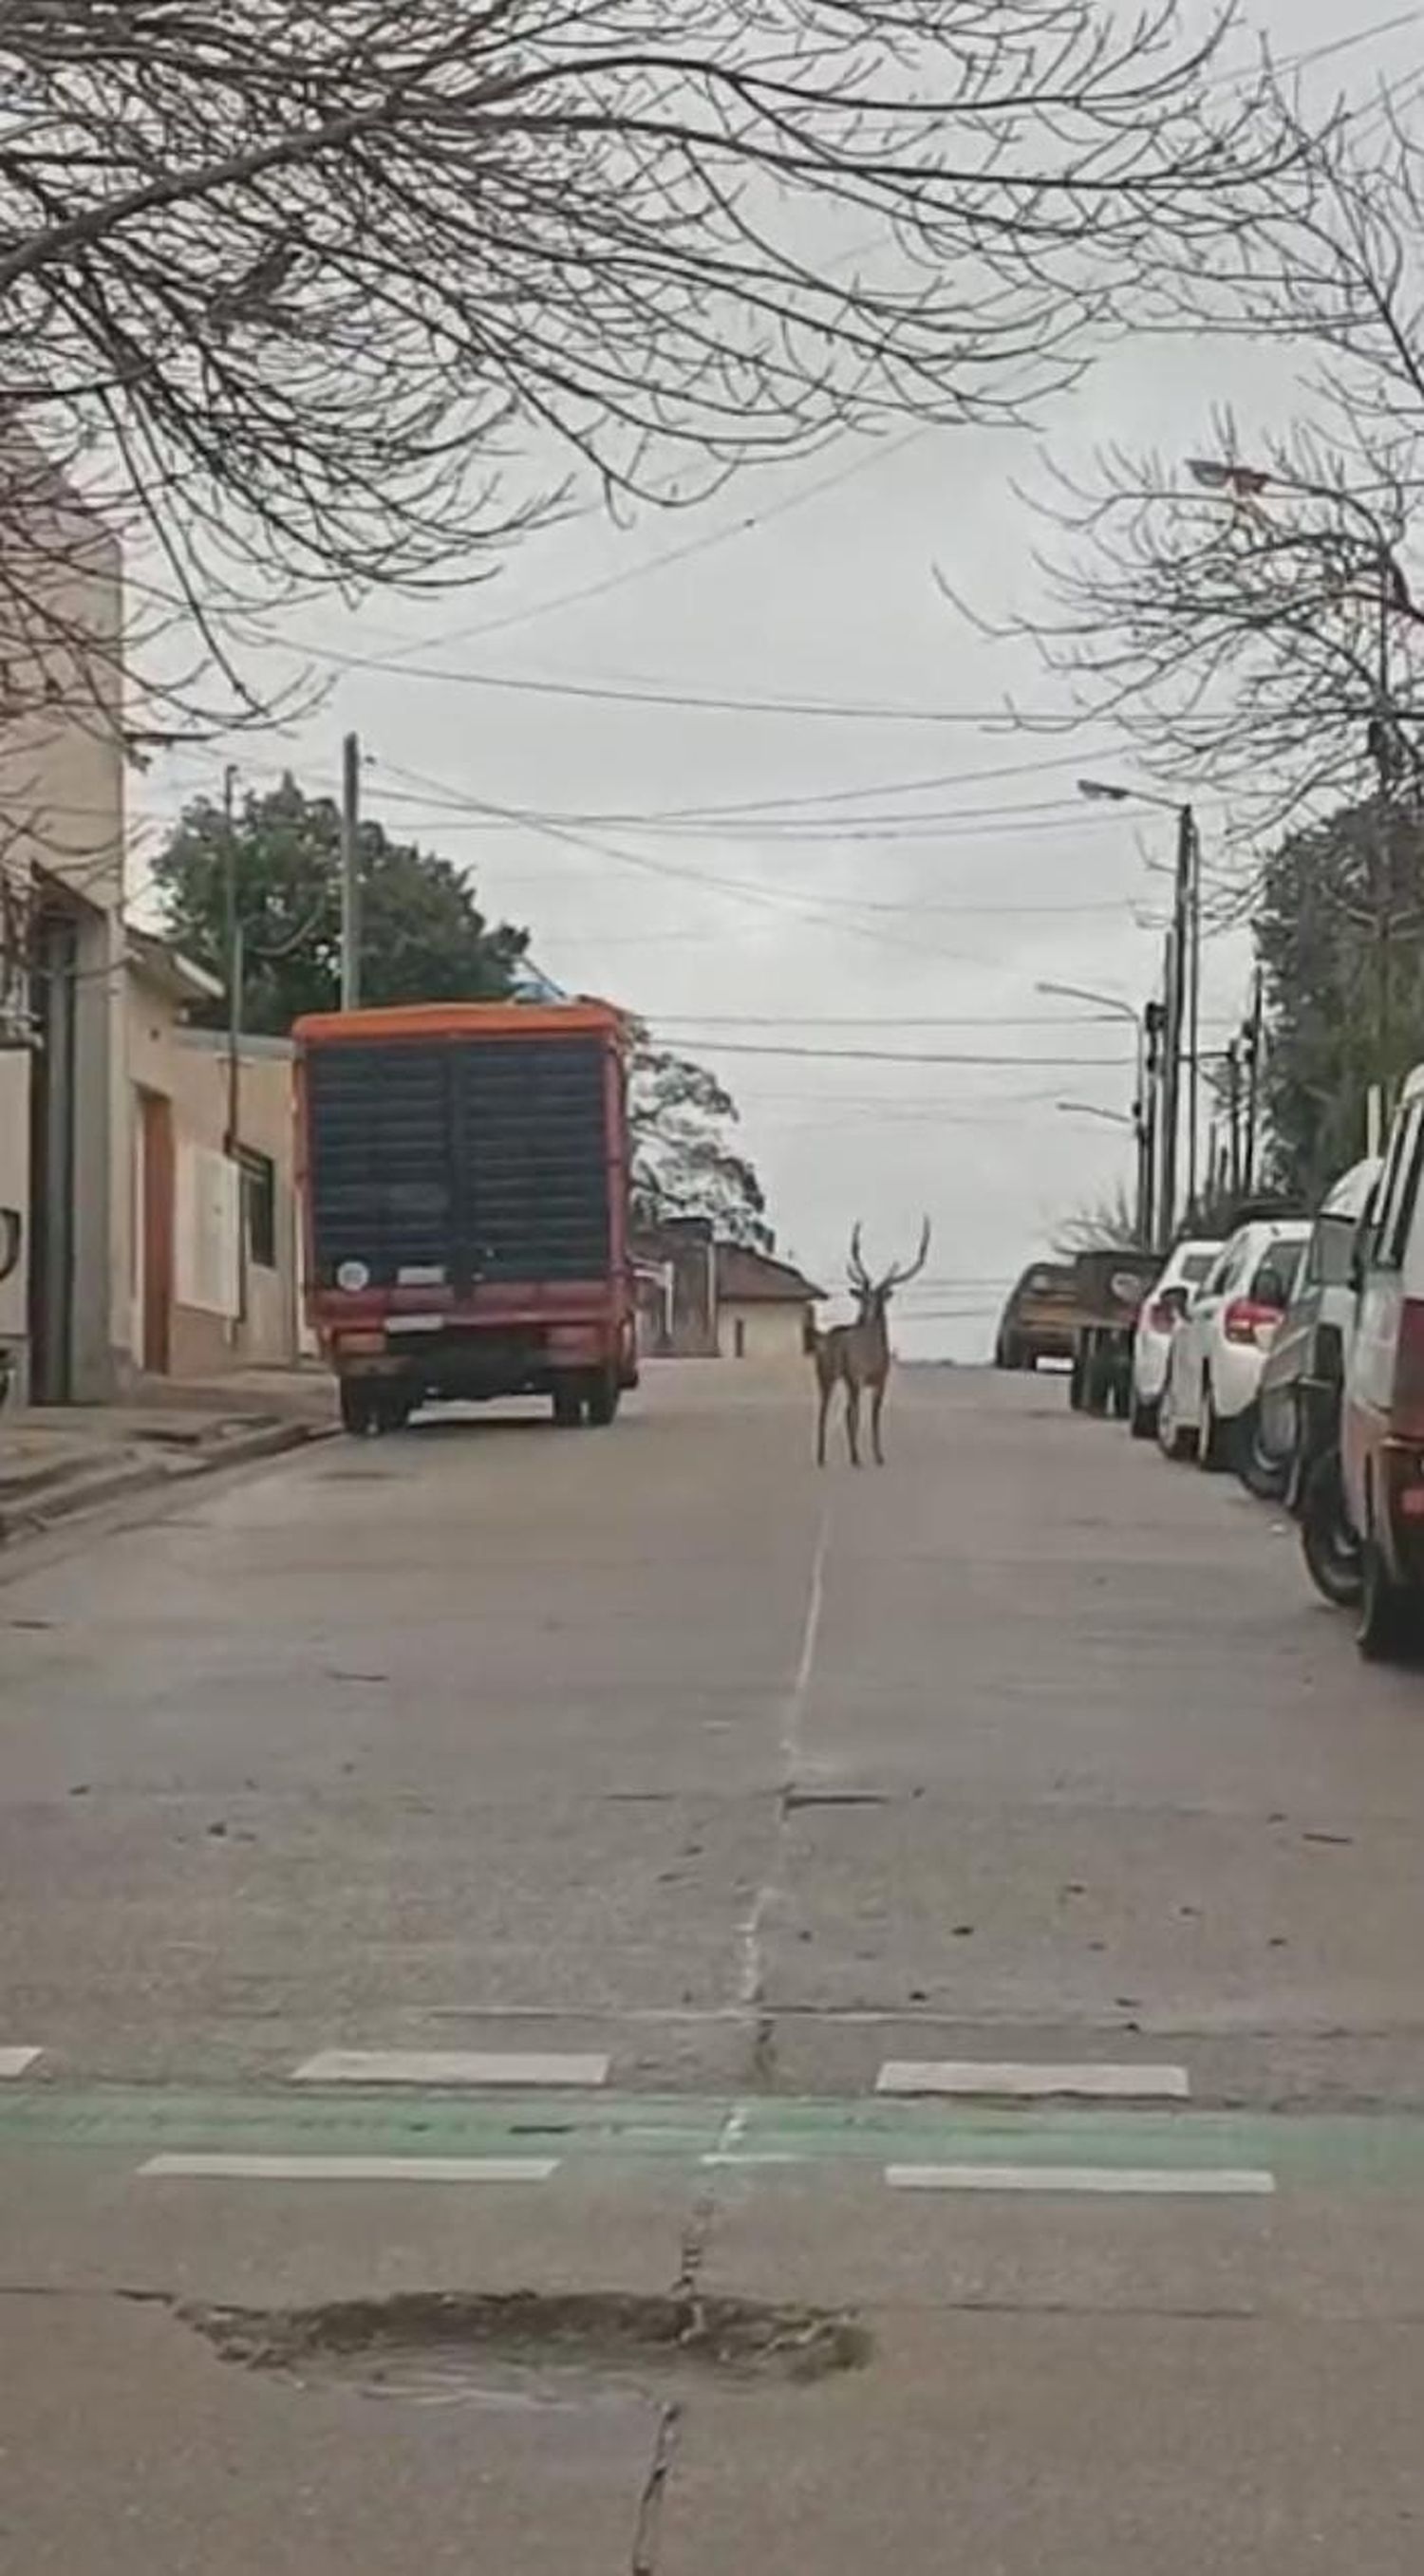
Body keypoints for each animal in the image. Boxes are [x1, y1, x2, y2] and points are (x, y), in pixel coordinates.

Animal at [808, 1221, 931, 1473]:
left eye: (880, 1297)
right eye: (864, 1296)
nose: (866, 1314)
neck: (876, 1352)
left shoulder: (881, 1380)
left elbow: (875, 1418)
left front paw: (878, 1455)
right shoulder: (859, 1375)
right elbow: (860, 1416)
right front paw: (862, 1456)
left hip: (833, 1375)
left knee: (829, 1410)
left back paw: (824, 1456)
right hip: (836, 1375)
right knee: (840, 1411)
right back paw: (842, 1456)